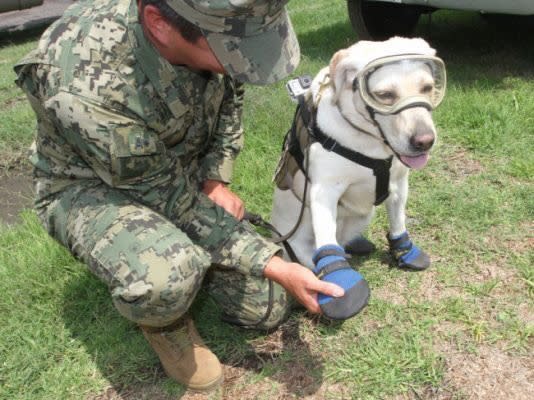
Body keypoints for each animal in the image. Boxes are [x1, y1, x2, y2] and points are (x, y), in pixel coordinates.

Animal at [274, 37, 446, 318]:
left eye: (428, 87)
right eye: (385, 95)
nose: (424, 142)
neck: (371, 143)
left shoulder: (399, 184)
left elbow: (398, 221)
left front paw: (404, 251)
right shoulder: (323, 192)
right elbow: (326, 240)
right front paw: (341, 281)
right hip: (299, 245)